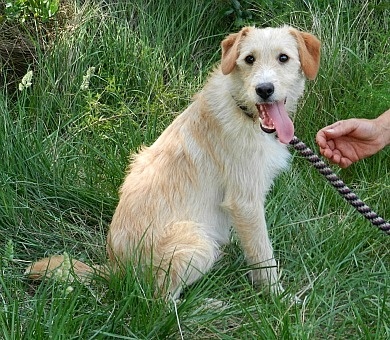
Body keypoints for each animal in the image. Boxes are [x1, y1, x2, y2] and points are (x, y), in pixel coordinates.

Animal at [26, 25, 320, 298]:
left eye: (283, 58)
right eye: (249, 59)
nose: (264, 89)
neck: (242, 110)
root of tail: (115, 269)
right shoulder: (245, 201)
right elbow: (263, 255)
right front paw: (277, 298)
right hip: (198, 244)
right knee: (159, 301)